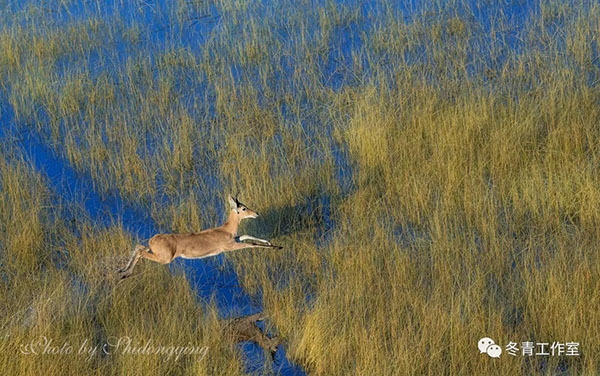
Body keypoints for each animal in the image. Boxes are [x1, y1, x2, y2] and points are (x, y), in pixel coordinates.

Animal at [120, 194, 284, 280]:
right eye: (243, 208)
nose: (256, 213)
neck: (226, 230)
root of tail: (153, 238)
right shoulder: (231, 246)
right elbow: (251, 244)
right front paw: (277, 246)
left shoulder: (235, 239)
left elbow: (245, 235)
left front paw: (270, 242)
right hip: (165, 259)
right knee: (140, 251)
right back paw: (125, 273)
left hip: (155, 252)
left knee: (138, 247)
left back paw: (122, 271)